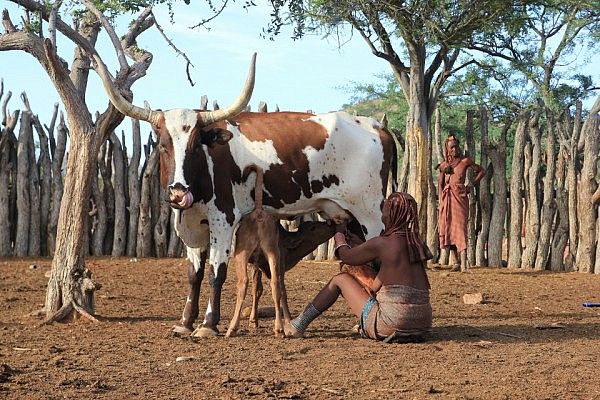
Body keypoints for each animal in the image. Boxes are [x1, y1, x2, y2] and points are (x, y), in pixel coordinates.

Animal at [225, 166, 338, 338]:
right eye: (312, 227)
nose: (331, 223)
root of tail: (259, 213)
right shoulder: (264, 261)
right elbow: (259, 288)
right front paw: (256, 320)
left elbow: (258, 288)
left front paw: (256, 320)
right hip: (270, 253)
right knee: (274, 284)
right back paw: (278, 327)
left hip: (245, 253)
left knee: (245, 282)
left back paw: (235, 327)